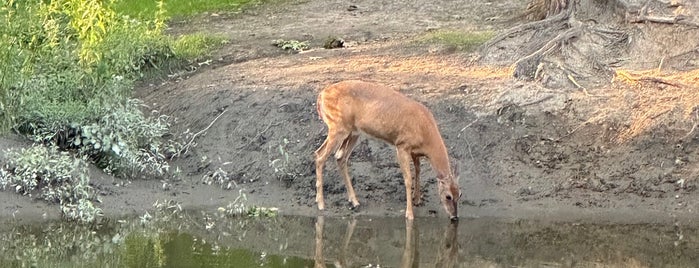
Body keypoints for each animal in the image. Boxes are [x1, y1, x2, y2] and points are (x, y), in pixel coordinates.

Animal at [314, 79, 462, 220]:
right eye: (448, 196)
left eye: (460, 194)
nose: (454, 216)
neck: (425, 133)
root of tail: (321, 95)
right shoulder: (402, 145)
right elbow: (408, 179)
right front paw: (409, 214)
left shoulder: (414, 152)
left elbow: (418, 171)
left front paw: (417, 199)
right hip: (337, 127)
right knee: (320, 155)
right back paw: (321, 204)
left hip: (353, 132)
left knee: (339, 157)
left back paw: (354, 201)